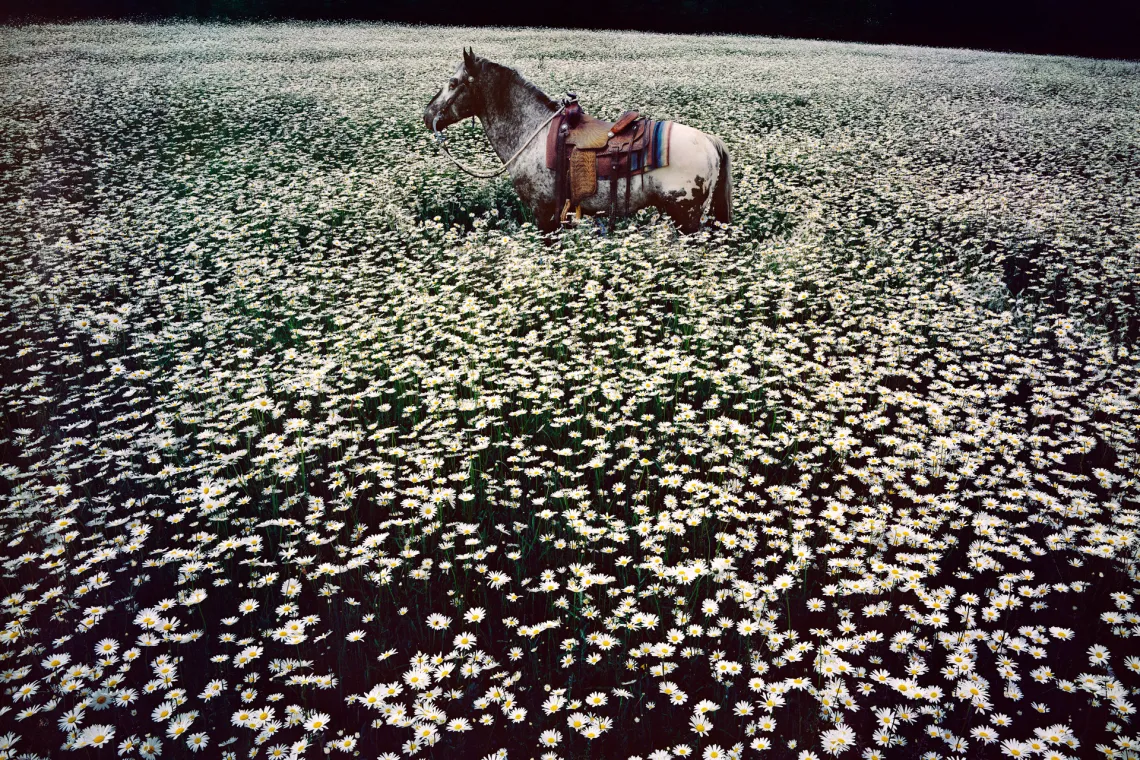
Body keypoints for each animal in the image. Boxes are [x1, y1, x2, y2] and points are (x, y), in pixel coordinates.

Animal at [424, 47, 734, 234]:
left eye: (453, 83)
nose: (428, 115)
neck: (532, 132)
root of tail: (710, 141)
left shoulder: (544, 213)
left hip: (687, 217)